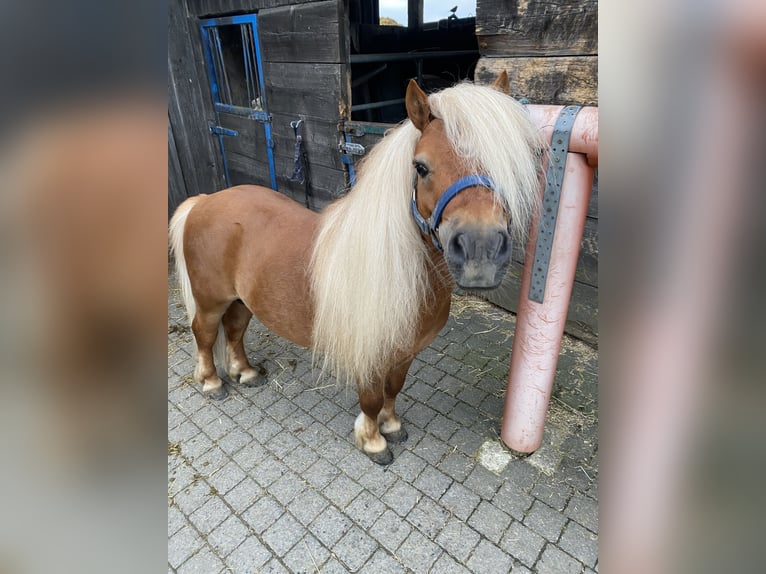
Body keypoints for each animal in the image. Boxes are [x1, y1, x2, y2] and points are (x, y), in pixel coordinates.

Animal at [169, 73, 545, 464]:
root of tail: (206, 200)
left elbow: (394, 389)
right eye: (421, 167)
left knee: (235, 330)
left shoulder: (404, 353)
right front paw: (372, 440)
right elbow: (372, 397)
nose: (480, 251)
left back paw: (245, 372)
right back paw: (211, 382)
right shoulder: (371, 352)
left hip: (242, 300)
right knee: (205, 334)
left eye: (513, 163)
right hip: (210, 301)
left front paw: (391, 426)